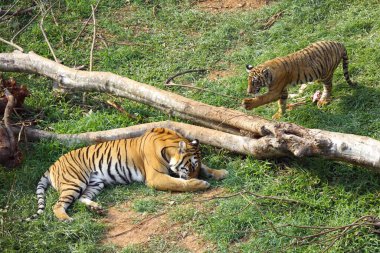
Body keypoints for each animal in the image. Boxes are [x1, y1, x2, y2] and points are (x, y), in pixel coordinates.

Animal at [28, 127, 229, 220]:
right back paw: (67, 219)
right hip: (74, 182)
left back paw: (96, 208)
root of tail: (53, 164)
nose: (196, 177)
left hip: (95, 184)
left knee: (81, 198)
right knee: (57, 205)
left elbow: (207, 168)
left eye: (196, 166)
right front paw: (200, 184)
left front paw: (221, 173)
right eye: (190, 166)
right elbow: (178, 183)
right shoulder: (155, 177)